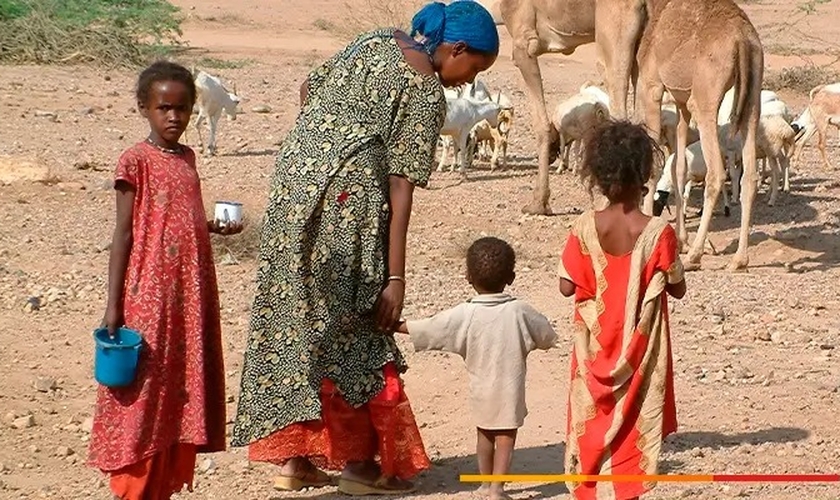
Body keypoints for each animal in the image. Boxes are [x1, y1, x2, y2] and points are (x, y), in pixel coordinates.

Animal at [632, 0, 764, 272]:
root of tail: (743, 39)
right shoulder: (681, 101)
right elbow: (679, 168)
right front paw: (680, 240)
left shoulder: (651, 87)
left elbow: (654, 163)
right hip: (753, 97)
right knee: (749, 177)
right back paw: (739, 259)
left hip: (705, 98)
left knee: (716, 174)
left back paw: (695, 255)